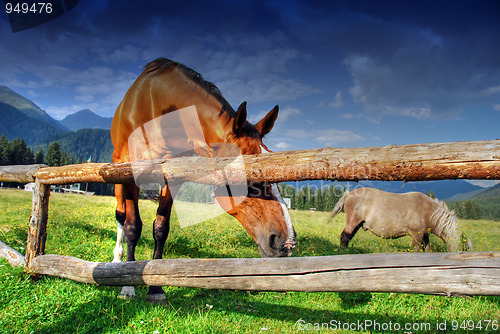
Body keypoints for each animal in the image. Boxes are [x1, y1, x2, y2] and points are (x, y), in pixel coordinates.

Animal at [111, 57, 294, 300]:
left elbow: (161, 228)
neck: (159, 111)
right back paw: (116, 261)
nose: (287, 243)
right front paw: (127, 286)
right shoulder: (131, 173)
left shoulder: (174, 177)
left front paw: (156, 288)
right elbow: (133, 226)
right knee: (121, 216)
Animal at [330, 189, 470, 252]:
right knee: (344, 237)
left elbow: (427, 249)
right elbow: (416, 249)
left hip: (358, 224)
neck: (427, 210)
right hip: (353, 221)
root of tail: (348, 194)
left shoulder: (424, 234)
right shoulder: (416, 234)